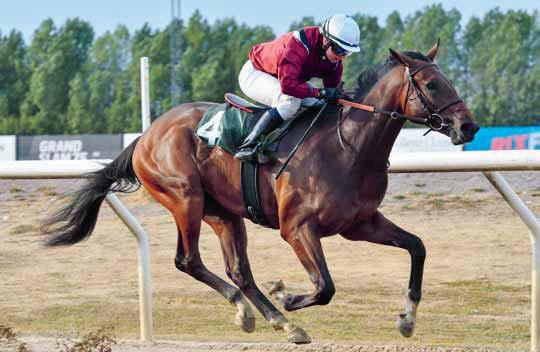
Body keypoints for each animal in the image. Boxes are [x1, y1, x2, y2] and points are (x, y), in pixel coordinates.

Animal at [43, 42, 480, 344]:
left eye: (450, 81)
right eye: (431, 84)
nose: (469, 127)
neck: (349, 146)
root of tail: (146, 135)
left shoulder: (360, 224)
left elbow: (417, 247)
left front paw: (407, 320)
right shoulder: (297, 228)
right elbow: (324, 287)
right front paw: (286, 295)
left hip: (224, 212)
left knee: (239, 270)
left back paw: (274, 320)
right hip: (185, 199)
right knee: (188, 260)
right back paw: (261, 313)